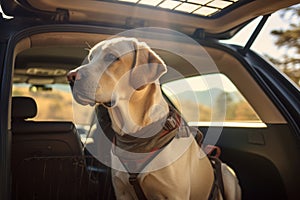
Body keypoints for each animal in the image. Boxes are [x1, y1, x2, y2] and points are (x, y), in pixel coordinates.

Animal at [67, 36, 240, 199]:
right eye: (91, 58)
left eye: (111, 57)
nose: (71, 76)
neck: (135, 134)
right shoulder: (122, 191)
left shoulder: (174, 194)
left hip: (227, 174)